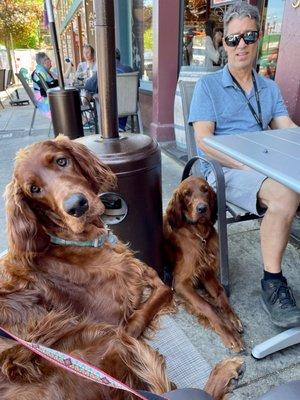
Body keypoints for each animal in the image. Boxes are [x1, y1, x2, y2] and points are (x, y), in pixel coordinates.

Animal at [163, 177, 245, 352]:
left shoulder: (206, 271)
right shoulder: (180, 283)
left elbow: (220, 293)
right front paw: (229, 333)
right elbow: (206, 306)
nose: (202, 208)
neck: (200, 235)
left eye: (205, 189)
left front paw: (232, 318)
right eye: (187, 193)